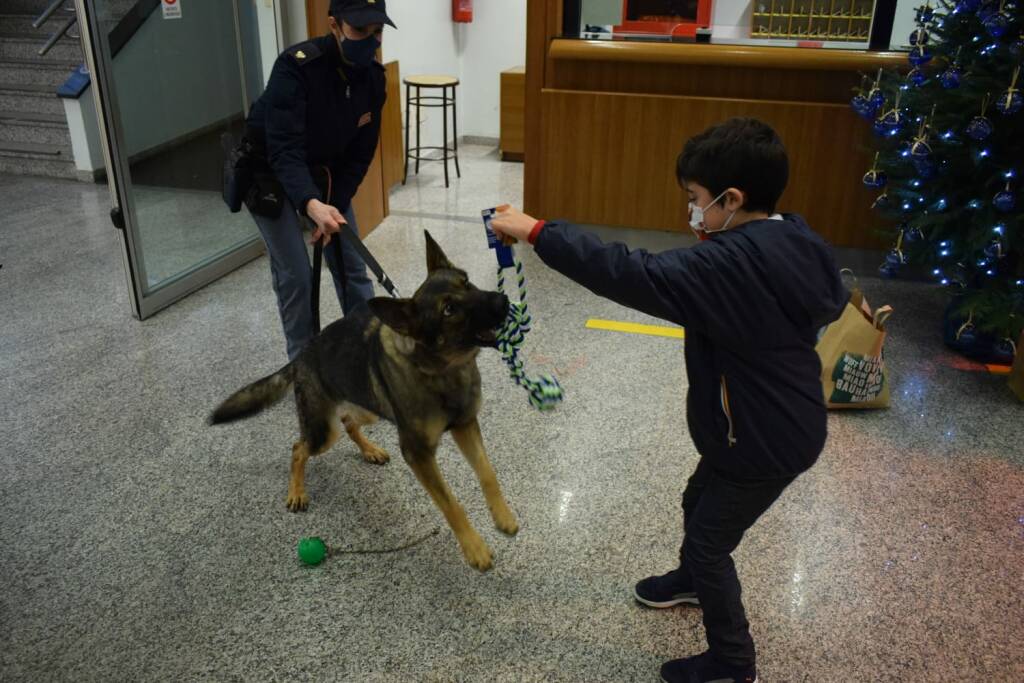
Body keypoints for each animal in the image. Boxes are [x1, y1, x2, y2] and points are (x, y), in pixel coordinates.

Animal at [215, 232, 520, 569]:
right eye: (449, 309)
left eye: (466, 282)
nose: (504, 301)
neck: (443, 370)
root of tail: (303, 353)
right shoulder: (418, 455)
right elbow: (451, 503)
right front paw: (473, 546)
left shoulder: (465, 426)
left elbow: (488, 474)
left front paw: (502, 515)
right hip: (324, 432)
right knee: (299, 447)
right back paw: (296, 490)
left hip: (367, 408)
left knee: (349, 423)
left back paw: (370, 450)